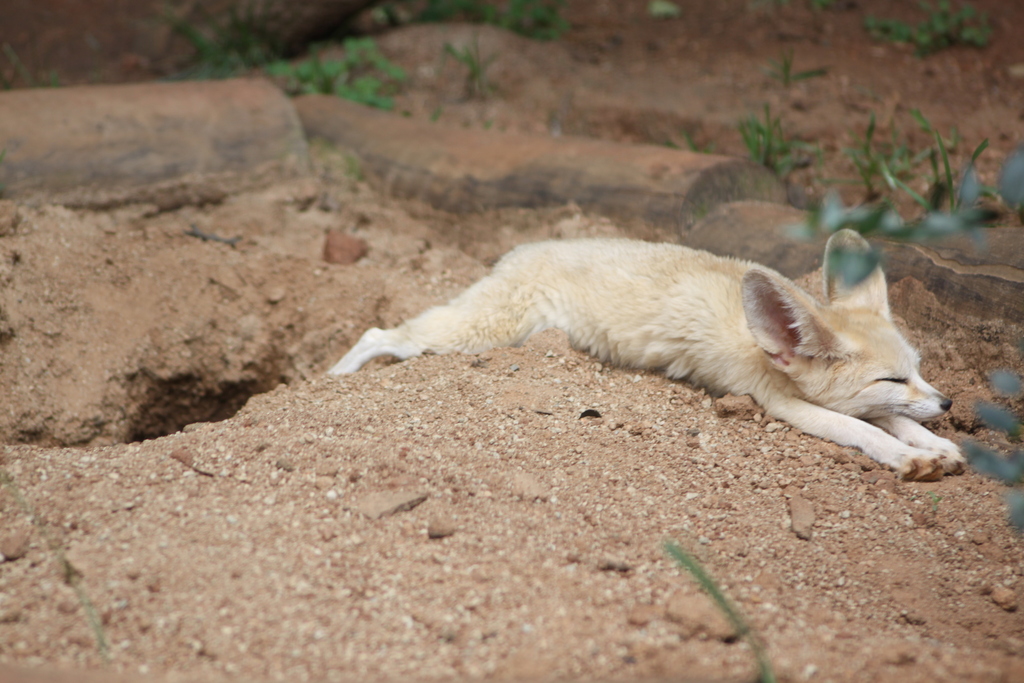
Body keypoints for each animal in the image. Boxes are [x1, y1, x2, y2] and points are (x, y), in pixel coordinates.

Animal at [328, 229, 965, 481]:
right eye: (890, 377)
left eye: (916, 371)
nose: (950, 402)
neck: (764, 347)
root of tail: (524, 249)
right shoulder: (779, 403)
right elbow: (864, 429)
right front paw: (907, 457)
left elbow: (887, 420)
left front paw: (938, 446)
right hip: (472, 334)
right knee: (378, 332)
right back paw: (333, 377)